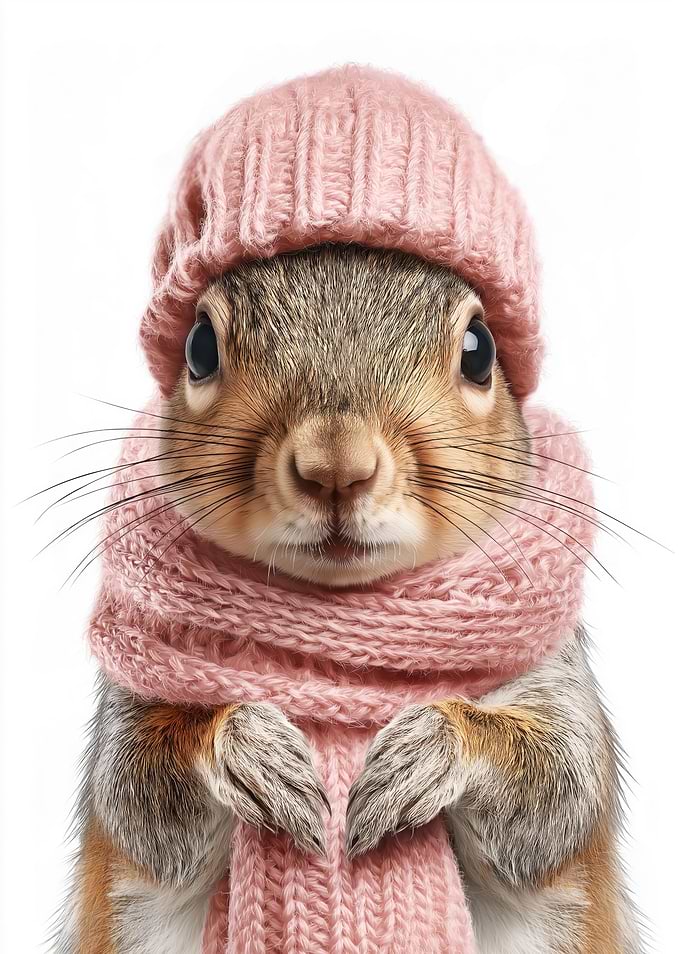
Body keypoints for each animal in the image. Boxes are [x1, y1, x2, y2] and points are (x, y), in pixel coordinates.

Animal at [55, 244, 642, 954]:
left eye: (479, 353)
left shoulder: (553, 670)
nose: (336, 467)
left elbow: (561, 791)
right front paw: (250, 749)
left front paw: (427, 752)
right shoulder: (131, 702)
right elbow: (135, 799)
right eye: (199, 348)